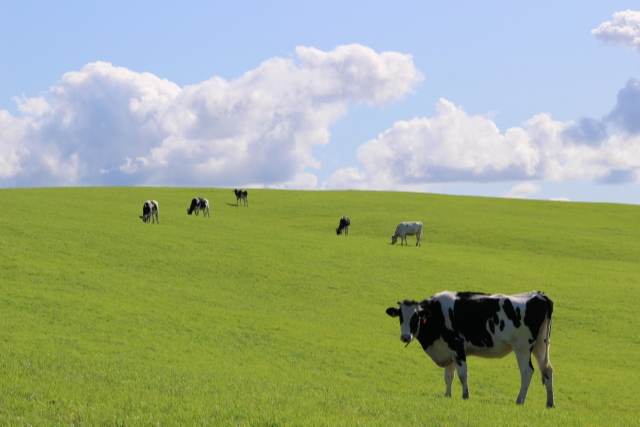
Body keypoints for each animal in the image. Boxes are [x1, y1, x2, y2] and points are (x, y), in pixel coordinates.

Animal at [384, 290, 556, 408]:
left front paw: (465, 396)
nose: (405, 337)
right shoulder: (449, 351)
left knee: (527, 372)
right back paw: (549, 403)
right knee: (547, 370)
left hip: (522, 347)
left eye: (415, 317)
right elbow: (448, 376)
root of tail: (539, 295)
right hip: (541, 345)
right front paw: (447, 395)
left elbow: (462, 374)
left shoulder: (457, 346)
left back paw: (519, 400)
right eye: (400, 317)